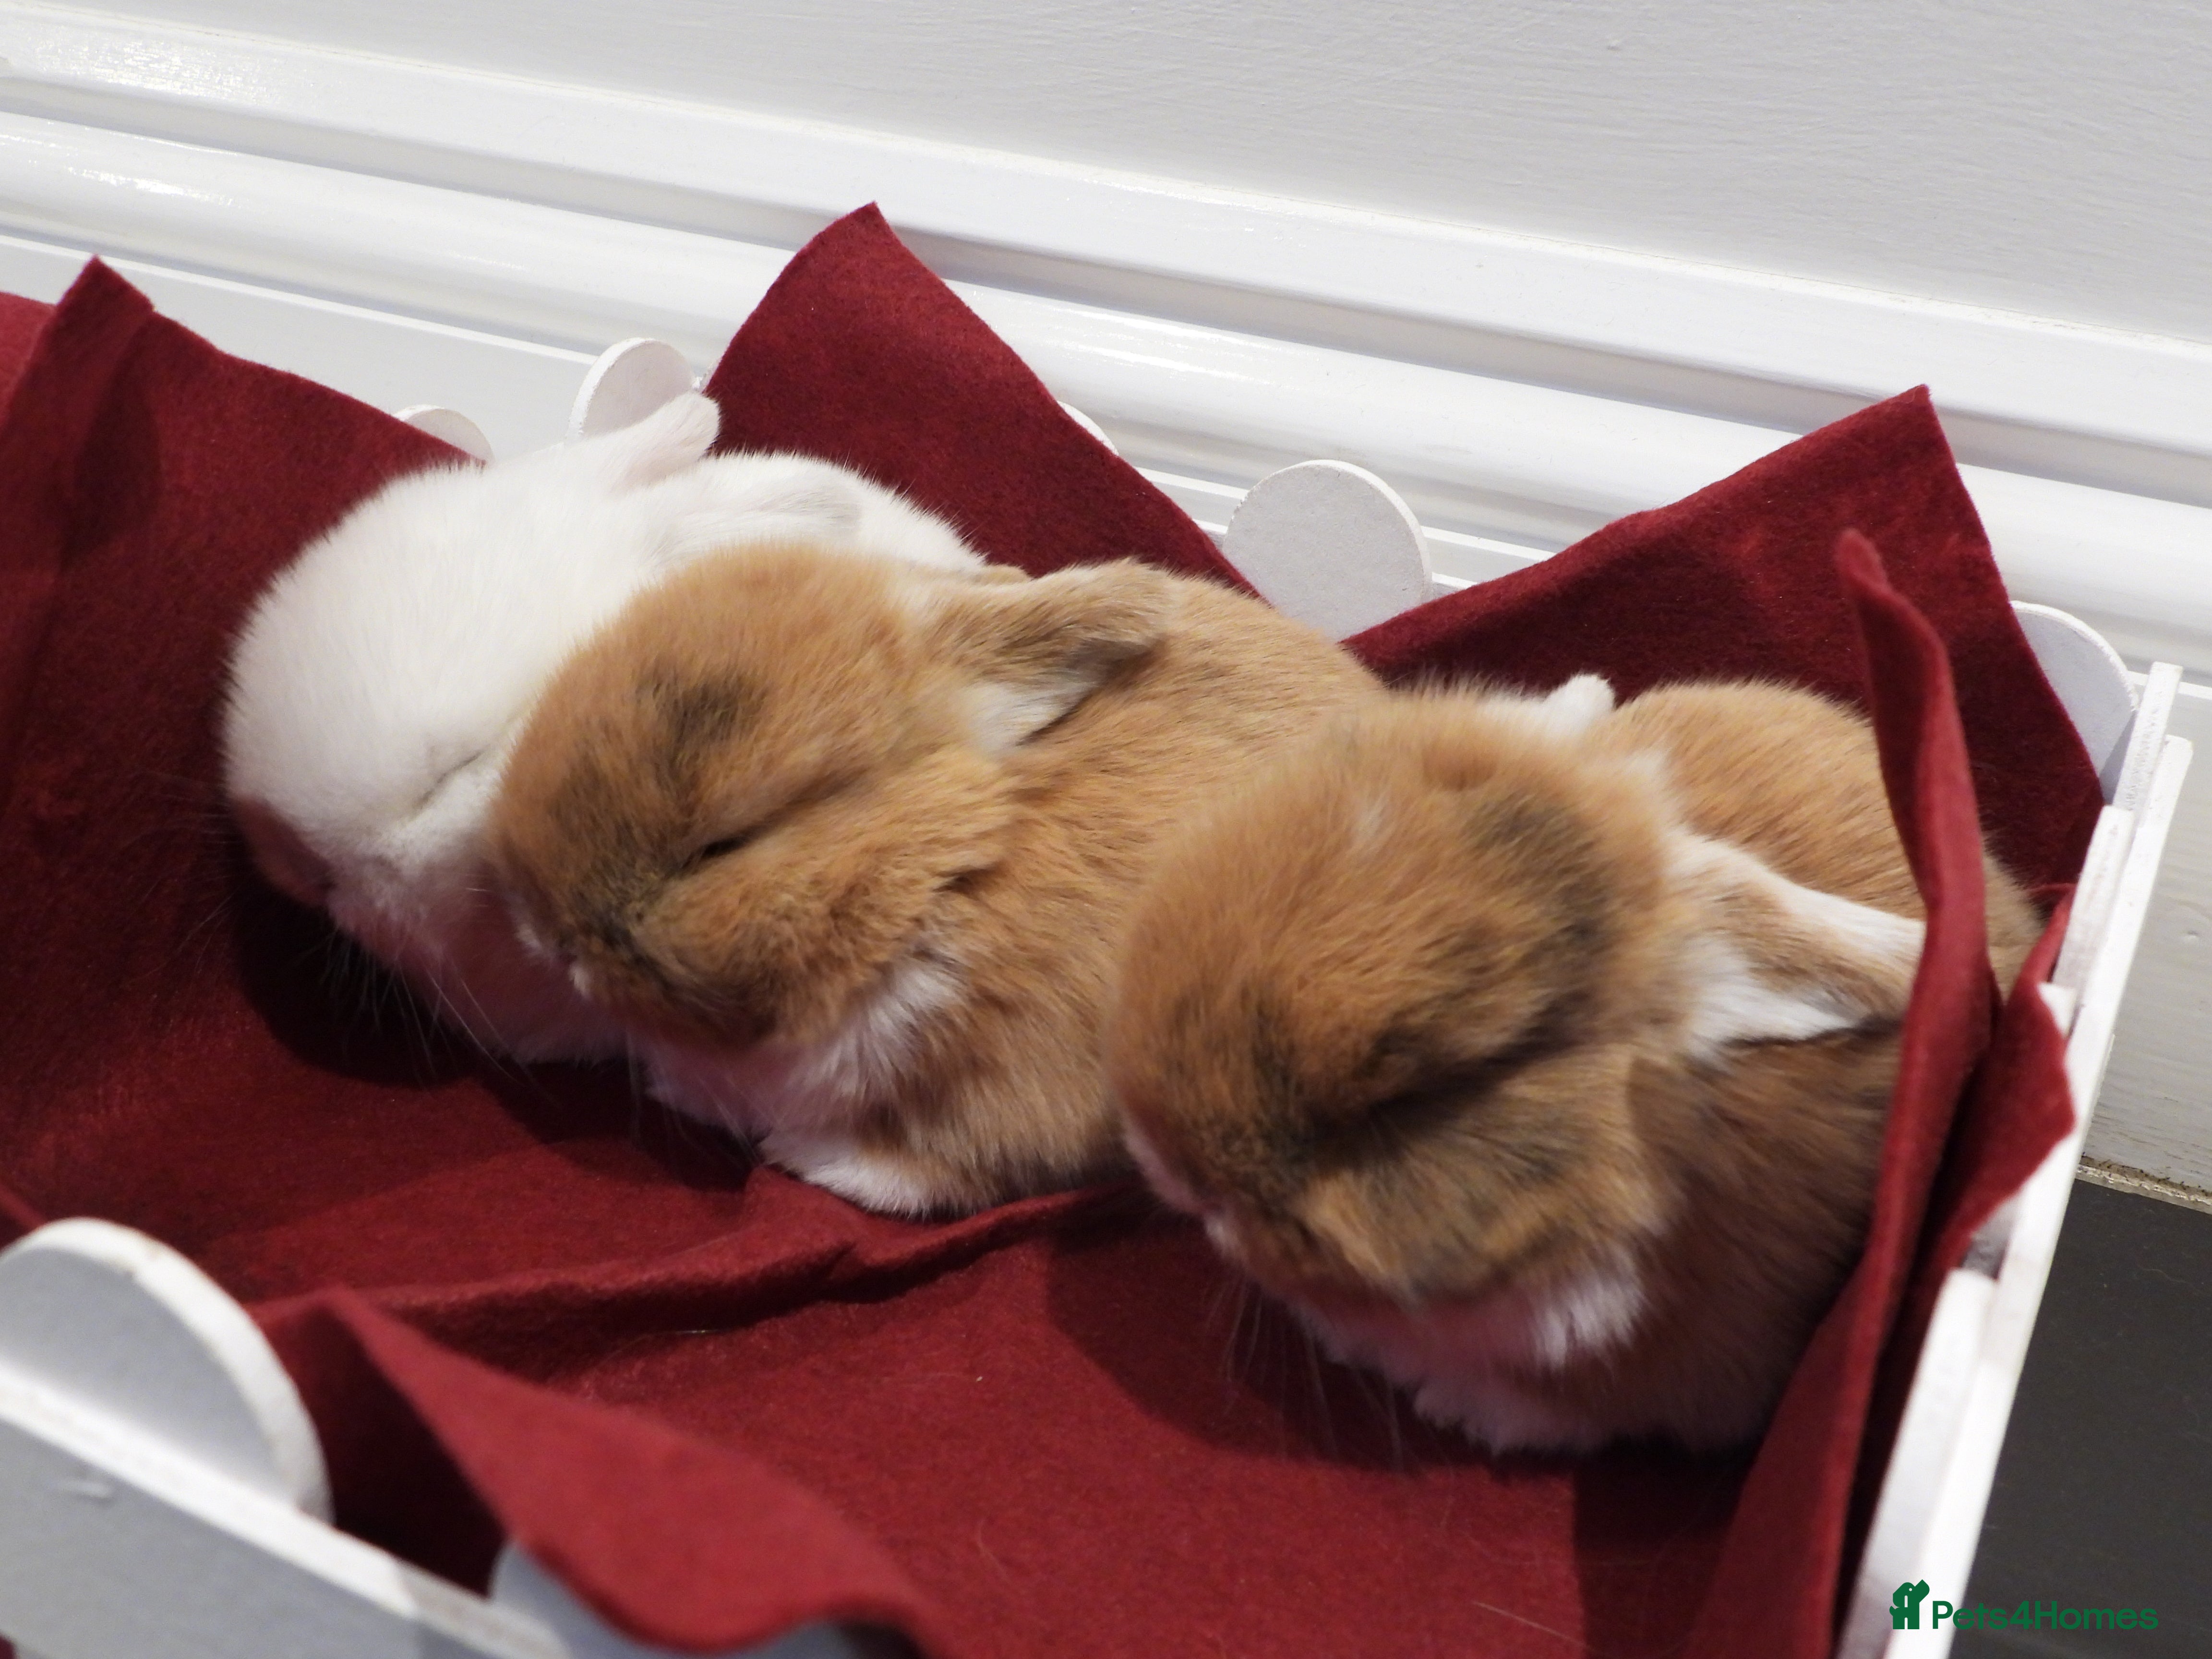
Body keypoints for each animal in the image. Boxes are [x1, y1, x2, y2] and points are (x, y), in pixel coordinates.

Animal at [485, 543, 1381, 1214]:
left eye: (723, 844)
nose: (543, 933)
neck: (946, 875)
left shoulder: (1016, 1102)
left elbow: (931, 1175)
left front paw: (801, 1154)